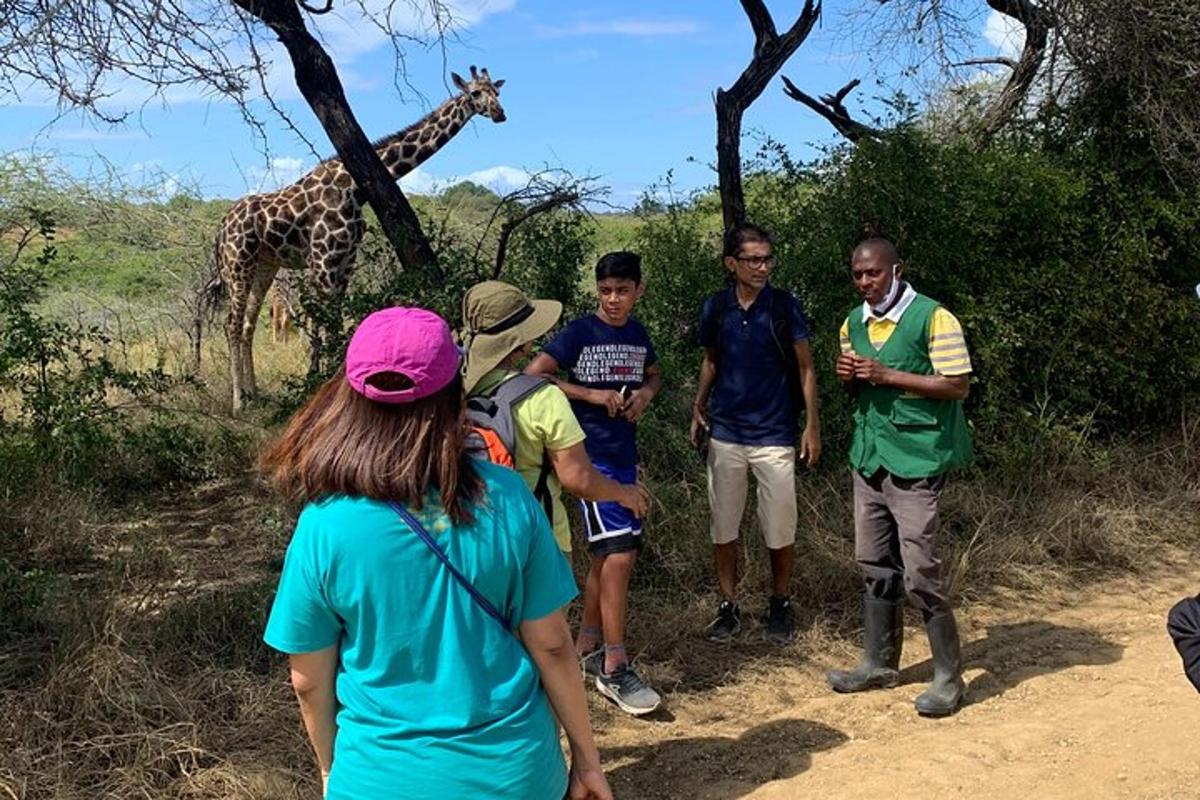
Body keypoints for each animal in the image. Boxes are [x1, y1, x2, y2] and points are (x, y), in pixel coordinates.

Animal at [216, 65, 506, 410]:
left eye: (497, 92)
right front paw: (314, 384)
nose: (500, 114)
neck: (354, 187)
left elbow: (333, 323)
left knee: (247, 324)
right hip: (239, 262)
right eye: (475, 93)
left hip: (264, 265)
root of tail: (221, 227)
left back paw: (254, 393)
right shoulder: (324, 260)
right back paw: (237, 401)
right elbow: (323, 323)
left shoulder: (345, 260)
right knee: (231, 323)